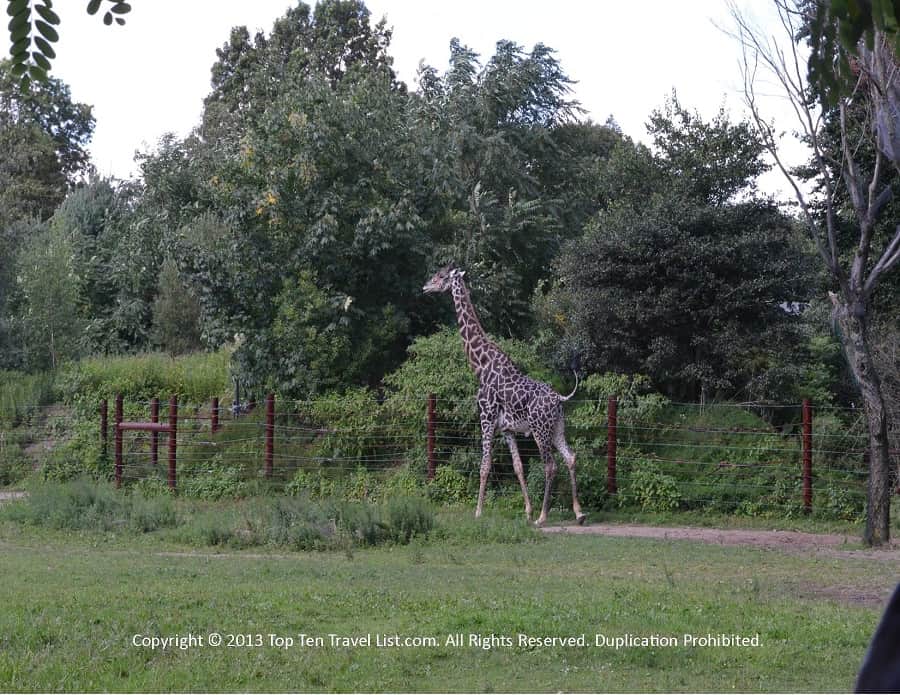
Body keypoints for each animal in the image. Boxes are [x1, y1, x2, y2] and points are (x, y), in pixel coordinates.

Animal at [423, 265, 586, 526]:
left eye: (440, 276)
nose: (425, 286)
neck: (480, 366)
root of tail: (559, 399)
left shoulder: (486, 419)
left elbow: (485, 465)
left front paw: (478, 512)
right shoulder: (507, 429)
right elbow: (518, 466)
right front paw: (527, 512)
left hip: (540, 429)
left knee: (550, 466)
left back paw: (543, 517)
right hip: (558, 427)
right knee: (570, 457)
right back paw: (578, 513)